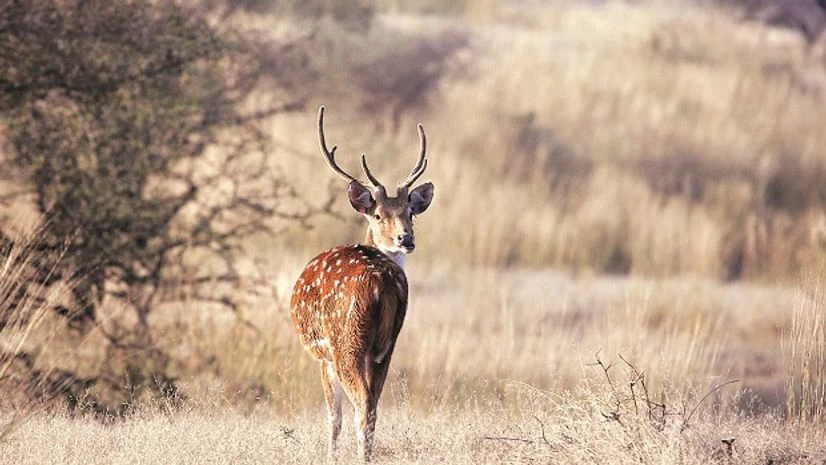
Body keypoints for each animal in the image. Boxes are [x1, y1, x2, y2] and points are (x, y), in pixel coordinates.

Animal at [290, 106, 434, 461]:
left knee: (362, 405)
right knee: (374, 405)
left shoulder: (323, 355)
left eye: (411, 212)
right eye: (379, 214)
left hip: (346, 341)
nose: (406, 238)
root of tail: (380, 282)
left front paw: (330, 457)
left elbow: (333, 417)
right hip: (386, 345)